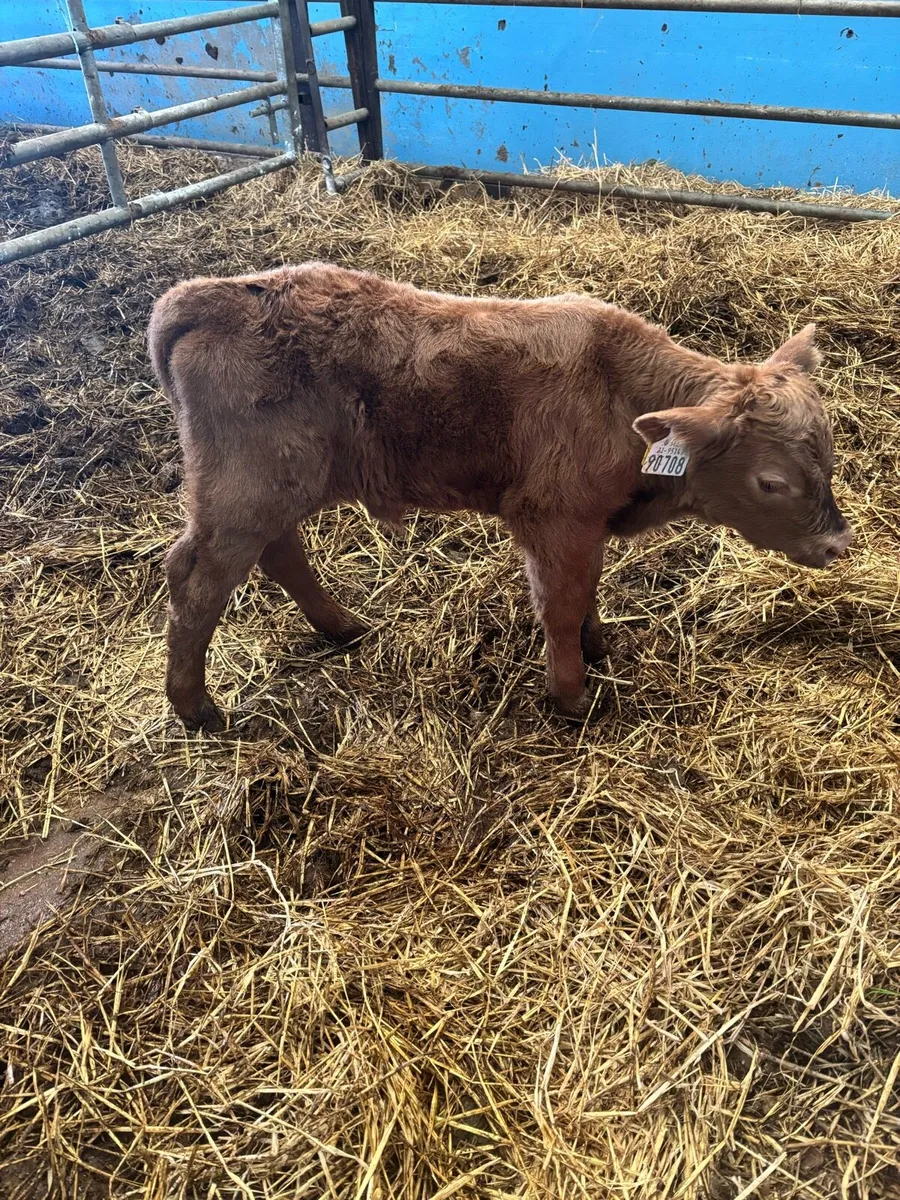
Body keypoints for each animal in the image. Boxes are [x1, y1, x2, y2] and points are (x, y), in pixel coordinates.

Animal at [149, 262, 851, 730]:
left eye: (828, 452)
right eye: (772, 482)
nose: (837, 544)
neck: (618, 392)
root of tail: (211, 293)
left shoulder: (585, 521)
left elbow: (586, 590)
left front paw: (598, 647)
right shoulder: (552, 519)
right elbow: (560, 604)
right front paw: (570, 696)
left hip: (275, 487)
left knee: (278, 552)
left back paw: (342, 627)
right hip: (243, 490)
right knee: (197, 578)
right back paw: (195, 707)